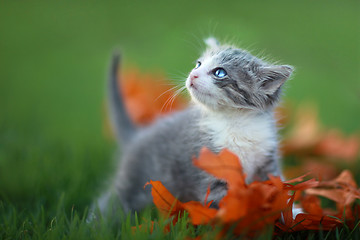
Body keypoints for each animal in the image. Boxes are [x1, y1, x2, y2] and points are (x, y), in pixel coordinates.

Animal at [95, 38, 292, 215]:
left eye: (220, 72)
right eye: (198, 64)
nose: (193, 74)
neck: (236, 122)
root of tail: (137, 135)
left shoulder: (267, 159)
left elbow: (277, 190)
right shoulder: (211, 166)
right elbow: (223, 204)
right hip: (133, 182)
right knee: (110, 203)